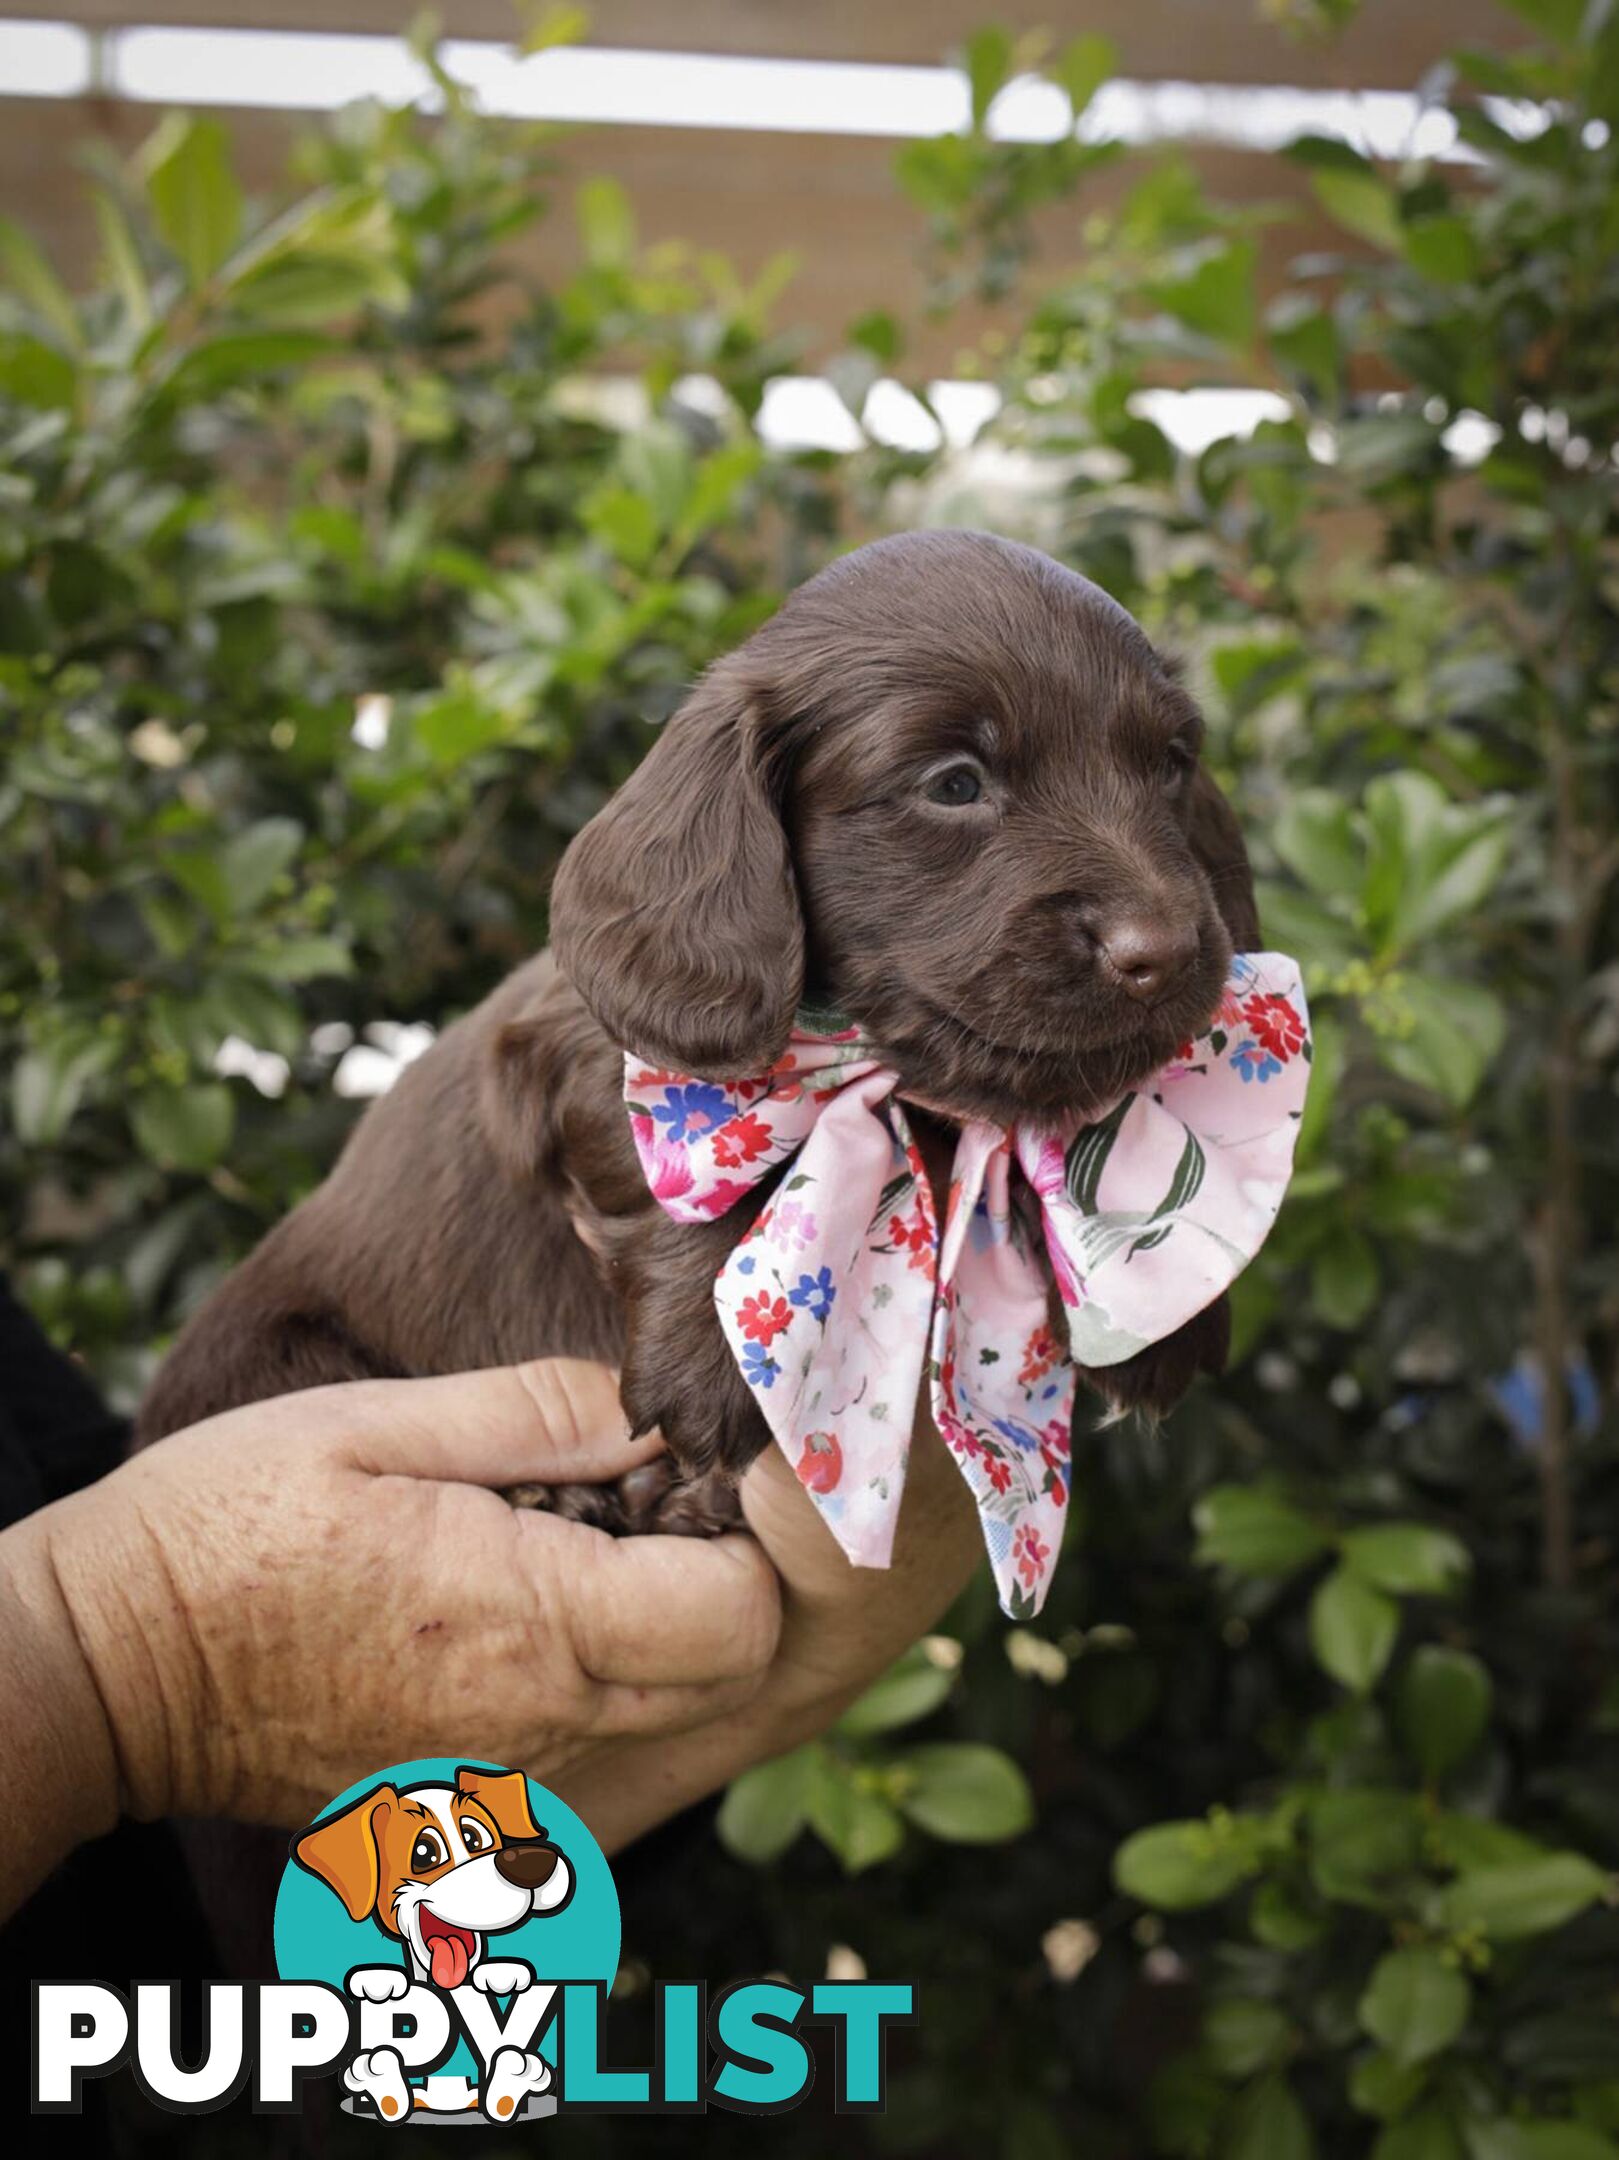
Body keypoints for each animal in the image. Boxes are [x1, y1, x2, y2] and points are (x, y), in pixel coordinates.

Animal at [136, 529, 1252, 1529]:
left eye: (1169, 764)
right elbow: (709, 1169)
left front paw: (1161, 1313)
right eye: (953, 785)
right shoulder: (576, 1056)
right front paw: (706, 1367)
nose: (1158, 950)